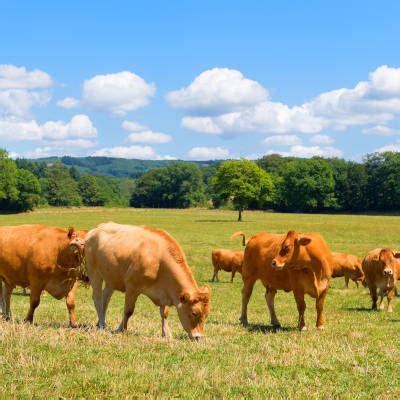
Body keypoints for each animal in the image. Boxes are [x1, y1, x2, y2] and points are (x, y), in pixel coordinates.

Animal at [83, 223, 211, 340]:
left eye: (206, 314)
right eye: (194, 313)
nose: (199, 337)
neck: (159, 261)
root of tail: (95, 229)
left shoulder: (165, 292)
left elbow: (164, 313)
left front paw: (166, 333)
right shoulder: (132, 287)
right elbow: (128, 311)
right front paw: (121, 329)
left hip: (111, 278)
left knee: (105, 298)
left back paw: (101, 322)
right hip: (94, 272)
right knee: (97, 298)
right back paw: (102, 324)